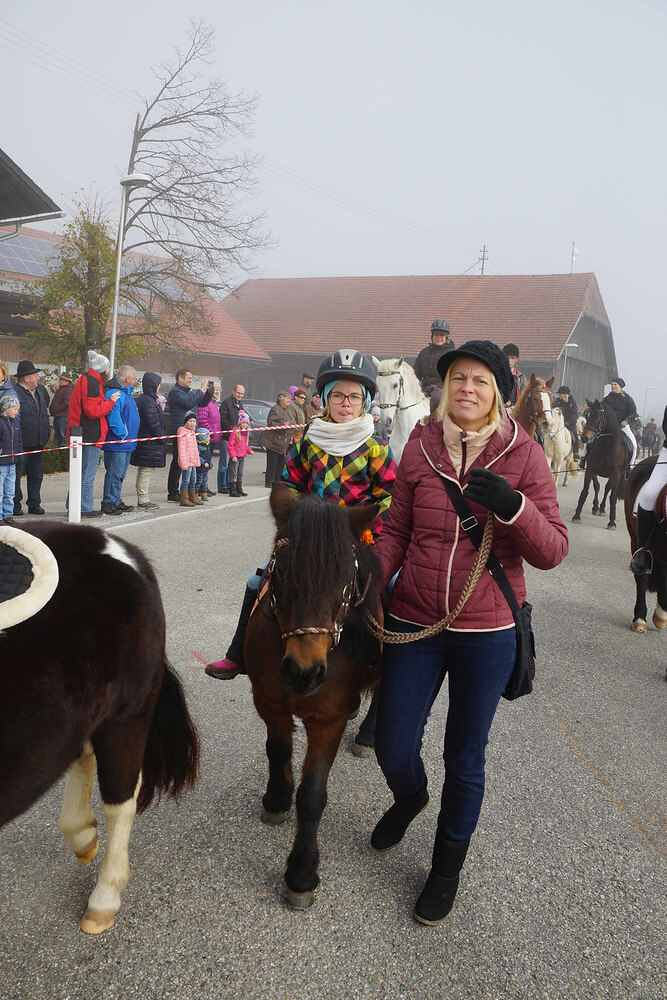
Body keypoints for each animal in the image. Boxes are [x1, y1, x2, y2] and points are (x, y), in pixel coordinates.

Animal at [0, 522, 199, 935]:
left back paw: (103, 898)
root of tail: (113, 544)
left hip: (126, 716)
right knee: (82, 756)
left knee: (120, 799)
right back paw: (84, 836)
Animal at [244, 486, 382, 910]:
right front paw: (276, 799)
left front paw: (301, 873)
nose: (304, 672)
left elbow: (313, 795)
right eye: (282, 572)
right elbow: (277, 751)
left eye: (344, 579)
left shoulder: (327, 720)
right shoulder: (270, 702)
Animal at [572, 400, 628, 529]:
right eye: (587, 416)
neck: (606, 447)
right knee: (599, 487)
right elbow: (587, 490)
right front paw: (577, 516)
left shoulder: (616, 474)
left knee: (608, 489)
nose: (584, 437)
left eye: (598, 417)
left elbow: (612, 497)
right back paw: (596, 507)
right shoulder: (590, 470)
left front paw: (612, 522)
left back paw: (602, 508)